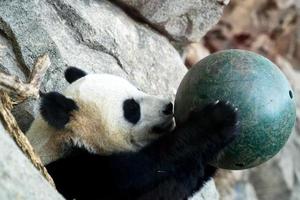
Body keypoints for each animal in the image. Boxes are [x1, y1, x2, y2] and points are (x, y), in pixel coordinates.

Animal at [27, 67, 240, 200]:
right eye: (131, 109)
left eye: (137, 88)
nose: (168, 107)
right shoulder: (83, 176)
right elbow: (144, 170)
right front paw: (218, 119)